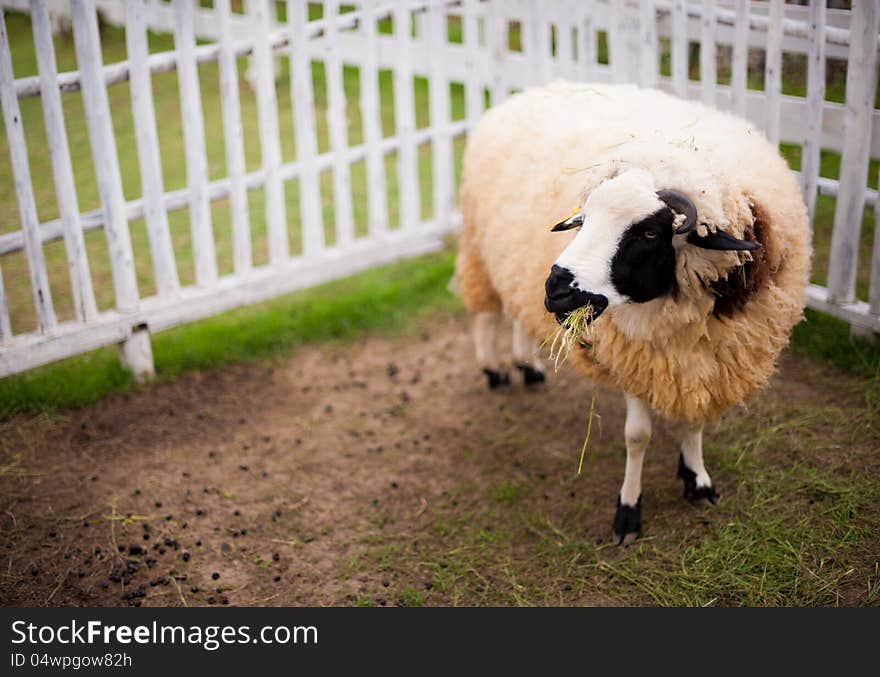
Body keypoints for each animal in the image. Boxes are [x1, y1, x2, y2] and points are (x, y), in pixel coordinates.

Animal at [458, 80, 816, 544]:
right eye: (583, 219)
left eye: (648, 233)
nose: (556, 289)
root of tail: (529, 91)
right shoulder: (630, 355)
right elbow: (637, 436)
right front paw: (628, 511)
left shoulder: (705, 360)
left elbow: (694, 423)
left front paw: (697, 480)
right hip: (479, 243)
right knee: (487, 314)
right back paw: (495, 370)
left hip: (512, 256)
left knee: (518, 311)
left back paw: (528, 366)